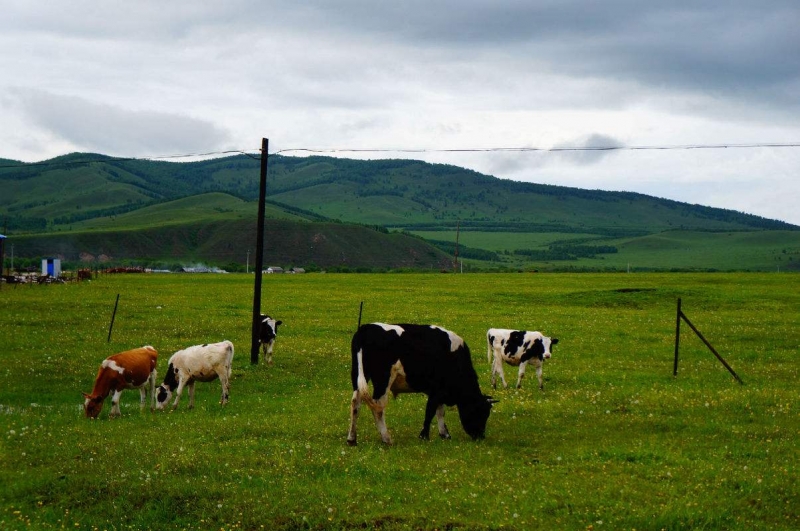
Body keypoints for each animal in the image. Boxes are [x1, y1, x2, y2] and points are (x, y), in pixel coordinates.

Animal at [348, 322, 496, 446]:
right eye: (480, 412)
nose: (480, 436)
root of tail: (365, 328)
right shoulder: (437, 390)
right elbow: (430, 411)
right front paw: (424, 435)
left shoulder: (438, 391)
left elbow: (440, 411)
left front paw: (444, 434)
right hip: (383, 380)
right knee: (378, 406)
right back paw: (386, 438)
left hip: (359, 376)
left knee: (356, 402)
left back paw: (352, 439)